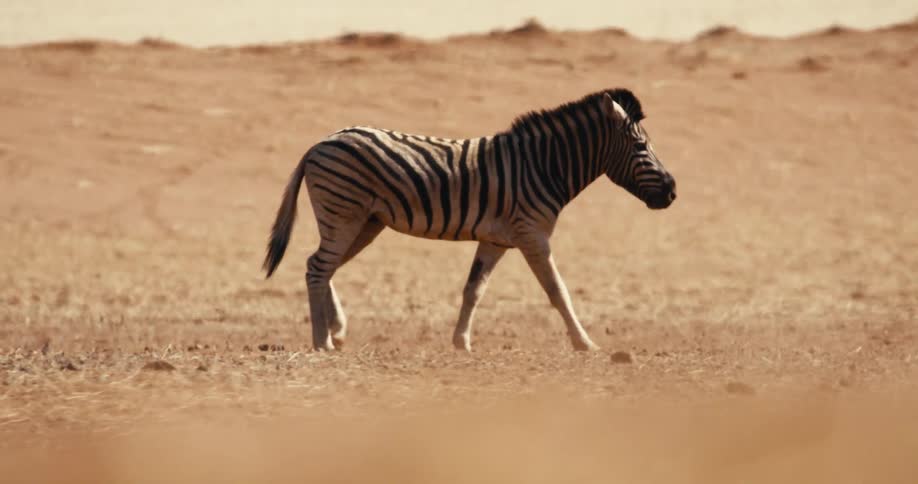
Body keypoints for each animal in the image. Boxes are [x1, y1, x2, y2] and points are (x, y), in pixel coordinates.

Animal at [262, 88, 676, 352]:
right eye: (641, 146)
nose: (672, 191)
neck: (544, 166)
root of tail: (318, 143)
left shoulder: (496, 239)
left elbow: (473, 290)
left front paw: (461, 342)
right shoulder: (532, 235)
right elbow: (557, 291)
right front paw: (584, 343)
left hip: (364, 222)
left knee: (320, 265)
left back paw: (337, 330)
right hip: (345, 214)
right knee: (318, 267)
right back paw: (321, 341)